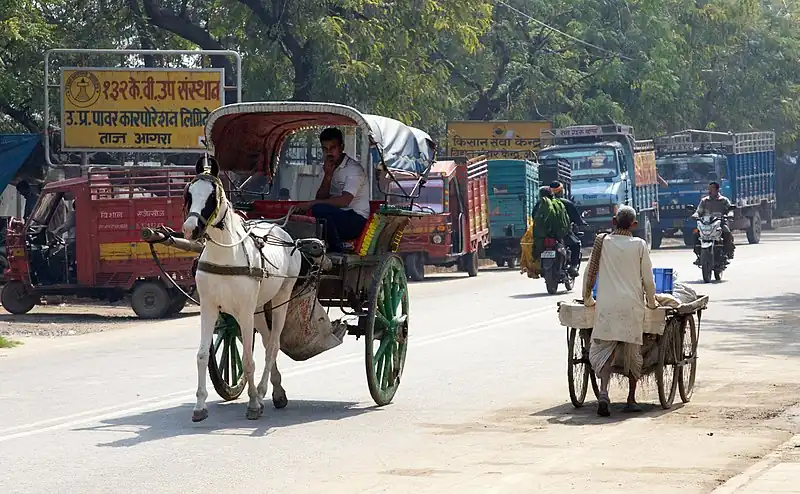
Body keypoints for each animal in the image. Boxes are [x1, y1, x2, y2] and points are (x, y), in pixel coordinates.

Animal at [181, 157, 304, 420]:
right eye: (189, 193)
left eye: (212, 196)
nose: (189, 229)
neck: (226, 256)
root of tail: (281, 231)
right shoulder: (209, 308)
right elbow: (202, 355)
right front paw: (199, 406)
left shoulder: (244, 312)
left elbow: (248, 359)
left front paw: (254, 404)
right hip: (258, 308)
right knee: (267, 342)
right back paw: (276, 390)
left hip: (281, 298)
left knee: (273, 346)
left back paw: (264, 391)